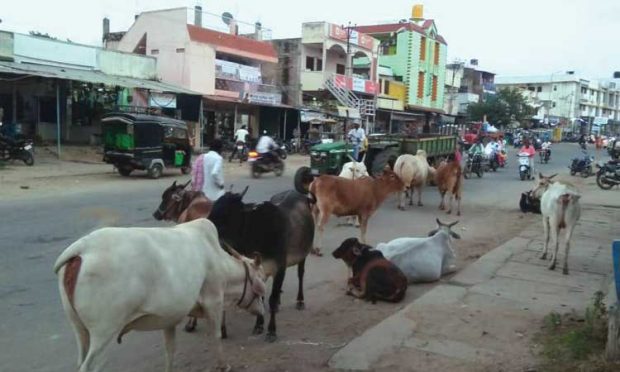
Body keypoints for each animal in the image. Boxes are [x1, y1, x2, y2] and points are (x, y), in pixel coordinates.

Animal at [53, 218, 264, 372]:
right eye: (260, 284)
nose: (262, 313)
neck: (218, 258)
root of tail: (83, 248)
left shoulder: (169, 318)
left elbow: (170, 350)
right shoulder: (214, 300)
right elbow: (217, 335)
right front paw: (223, 365)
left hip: (80, 329)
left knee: (80, 360)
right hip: (104, 333)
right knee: (89, 366)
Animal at [207, 187, 314, 342]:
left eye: (226, 212)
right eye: (213, 208)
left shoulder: (280, 268)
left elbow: (271, 299)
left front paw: (271, 331)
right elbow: (260, 296)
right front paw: (258, 325)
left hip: (303, 254)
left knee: (300, 274)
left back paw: (300, 301)